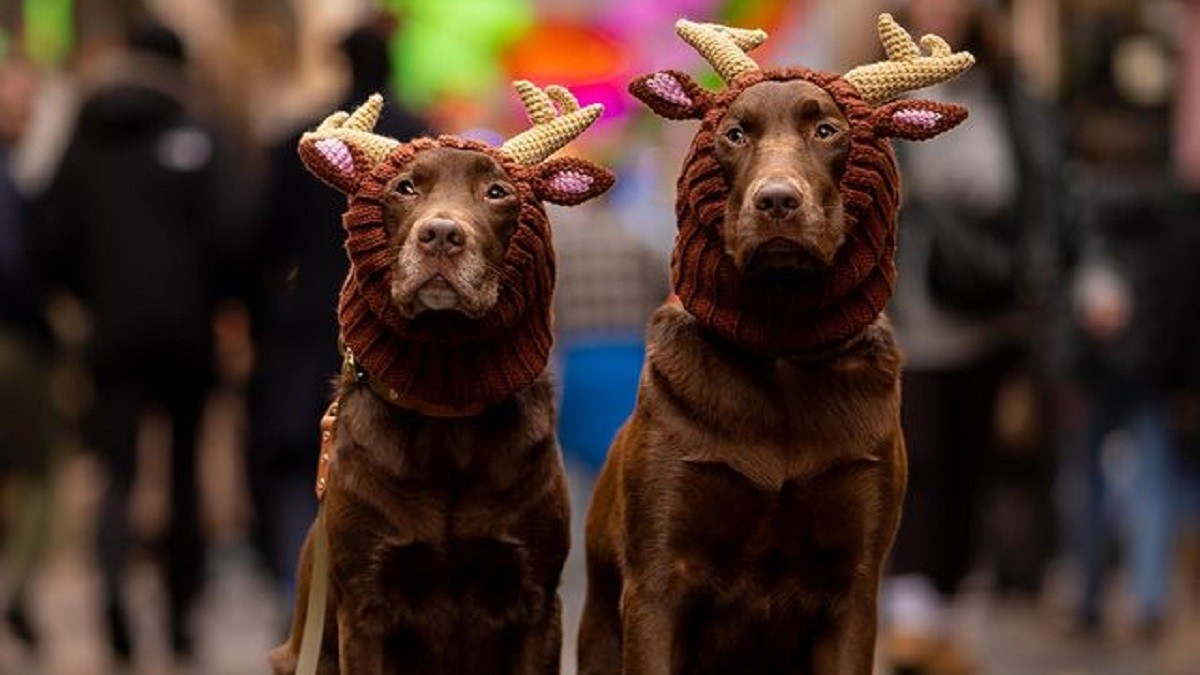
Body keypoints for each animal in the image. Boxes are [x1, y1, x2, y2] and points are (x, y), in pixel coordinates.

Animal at [270, 84, 609, 672]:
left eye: (497, 191)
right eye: (405, 187)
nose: (442, 235)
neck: (447, 413)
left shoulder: (537, 602)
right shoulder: (364, 606)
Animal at [580, 17, 974, 672]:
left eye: (827, 130)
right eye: (735, 134)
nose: (777, 200)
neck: (783, 348)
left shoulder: (855, 587)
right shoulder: (658, 581)